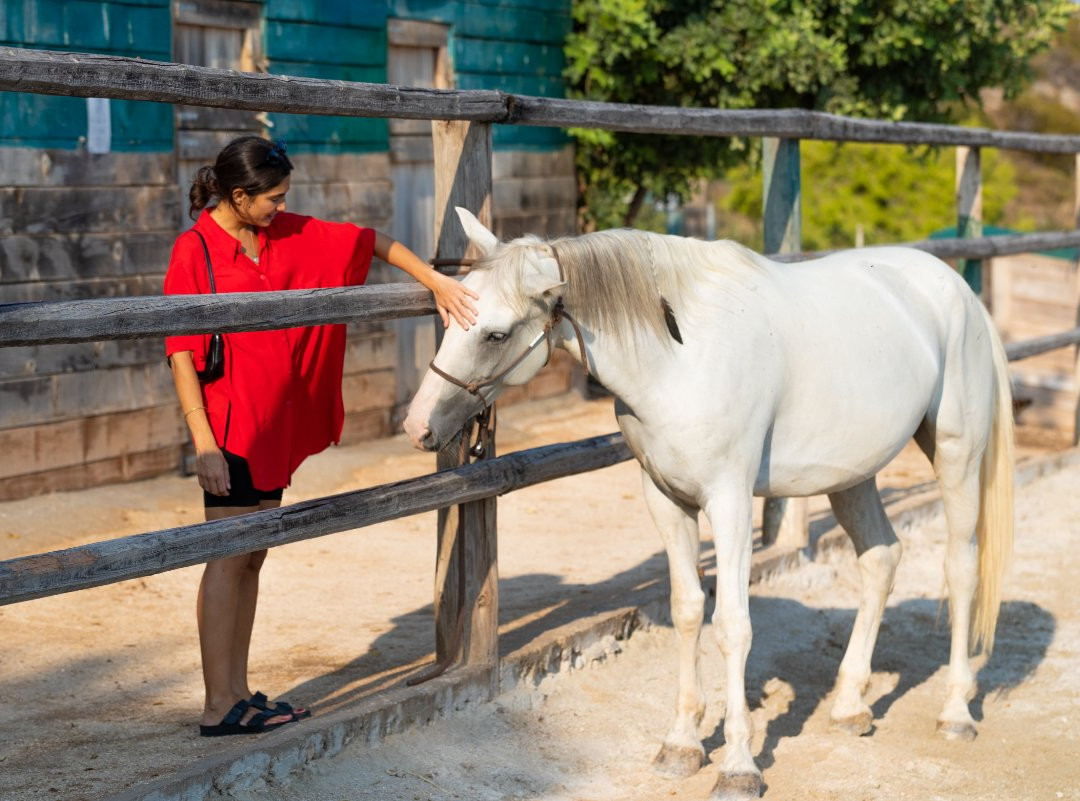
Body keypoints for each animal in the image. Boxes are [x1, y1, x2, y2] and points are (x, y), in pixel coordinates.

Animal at [403, 208, 1013, 800]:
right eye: (449, 318)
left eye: (495, 334)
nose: (418, 427)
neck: (680, 358)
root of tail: (960, 293)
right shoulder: (667, 500)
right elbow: (688, 611)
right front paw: (681, 745)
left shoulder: (730, 502)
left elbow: (733, 625)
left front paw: (739, 767)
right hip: (852, 476)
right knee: (881, 558)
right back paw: (848, 706)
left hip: (956, 455)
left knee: (961, 568)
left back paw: (956, 712)